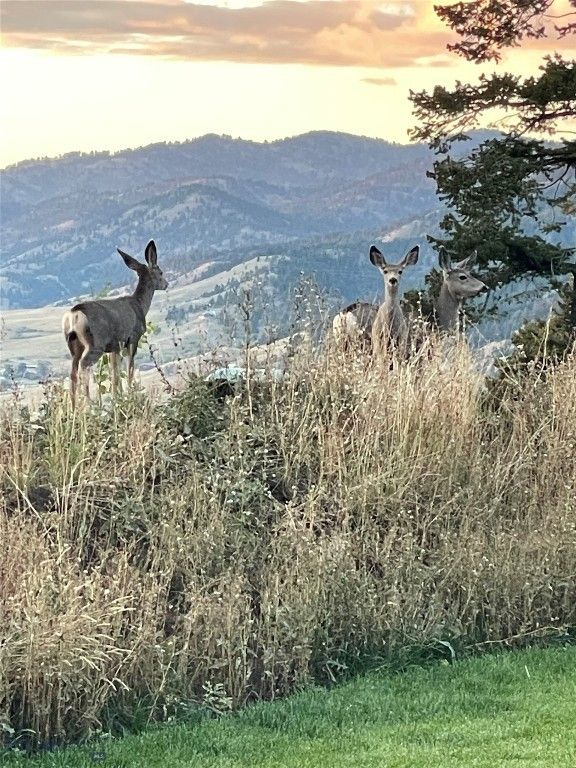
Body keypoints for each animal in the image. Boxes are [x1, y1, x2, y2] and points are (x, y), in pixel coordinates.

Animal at [62, 240, 168, 406]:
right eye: (161, 272)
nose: (166, 284)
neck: (140, 304)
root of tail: (74, 314)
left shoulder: (114, 347)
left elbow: (115, 374)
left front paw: (117, 398)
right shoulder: (133, 338)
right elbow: (129, 369)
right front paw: (130, 395)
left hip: (74, 345)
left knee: (72, 372)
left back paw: (73, 408)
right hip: (95, 343)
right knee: (83, 367)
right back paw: (88, 404)